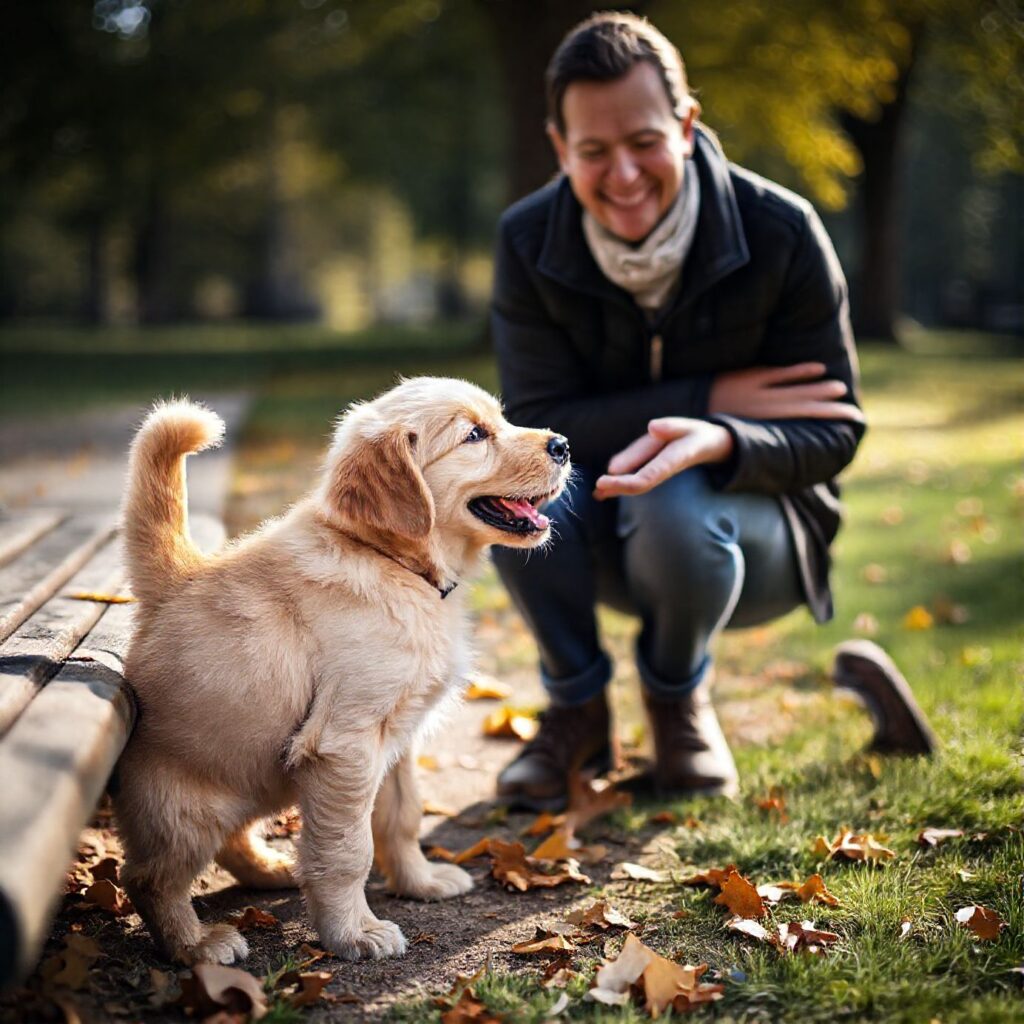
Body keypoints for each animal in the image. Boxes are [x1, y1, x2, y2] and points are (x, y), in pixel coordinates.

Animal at [116, 378, 573, 966]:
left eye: (502, 418)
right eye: (474, 435)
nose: (563, 444)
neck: (388, 562)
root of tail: (173, 585)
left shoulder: (397, 734)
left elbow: (402, 816)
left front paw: (420, 882)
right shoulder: (345, 743)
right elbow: (348, 851)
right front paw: (353, 933)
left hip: (255, 773)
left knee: (229, 841)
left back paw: (271, 870)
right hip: (187, 806)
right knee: (148, 877)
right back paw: (194, 943)